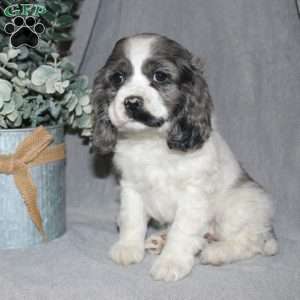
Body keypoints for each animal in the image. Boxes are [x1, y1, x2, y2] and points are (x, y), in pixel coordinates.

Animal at [92, 32, 278, 282]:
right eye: (118, 78)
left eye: (160, 76)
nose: (131, 101)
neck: (152, 141)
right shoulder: (131, 187)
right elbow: (132, 219)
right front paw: (128, 247)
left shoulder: (193, 195)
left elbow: (182, 231)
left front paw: (171, 262)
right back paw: (161, 239)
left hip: (238, 206)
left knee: (250, 241)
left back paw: (217, 252)